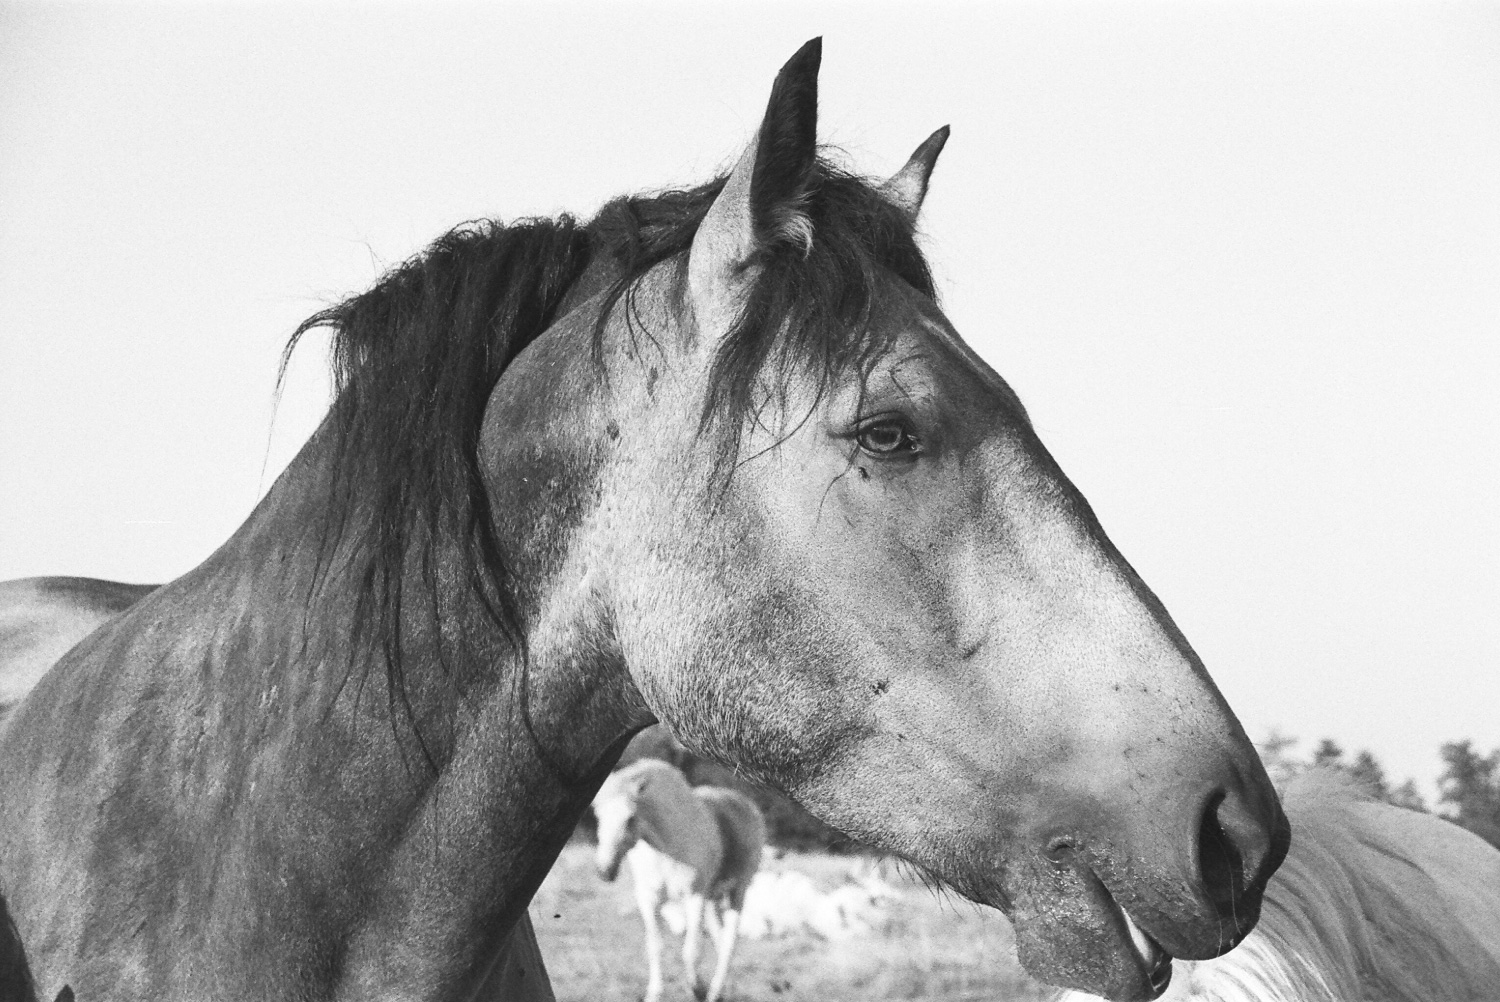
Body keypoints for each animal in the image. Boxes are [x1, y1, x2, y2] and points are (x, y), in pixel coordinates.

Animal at [591, 759, 768, 1002]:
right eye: (598, 816)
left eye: (630, 818)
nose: (604, 871)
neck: (665, 848)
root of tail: (747, 804)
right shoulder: (648, 899)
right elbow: (655, 946)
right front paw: (654, 994)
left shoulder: (694, 897)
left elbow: (691, 951)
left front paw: (697, 989)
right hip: (712, 899)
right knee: (720, 939)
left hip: (738, 892)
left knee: (729, 944)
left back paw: (714, 992)